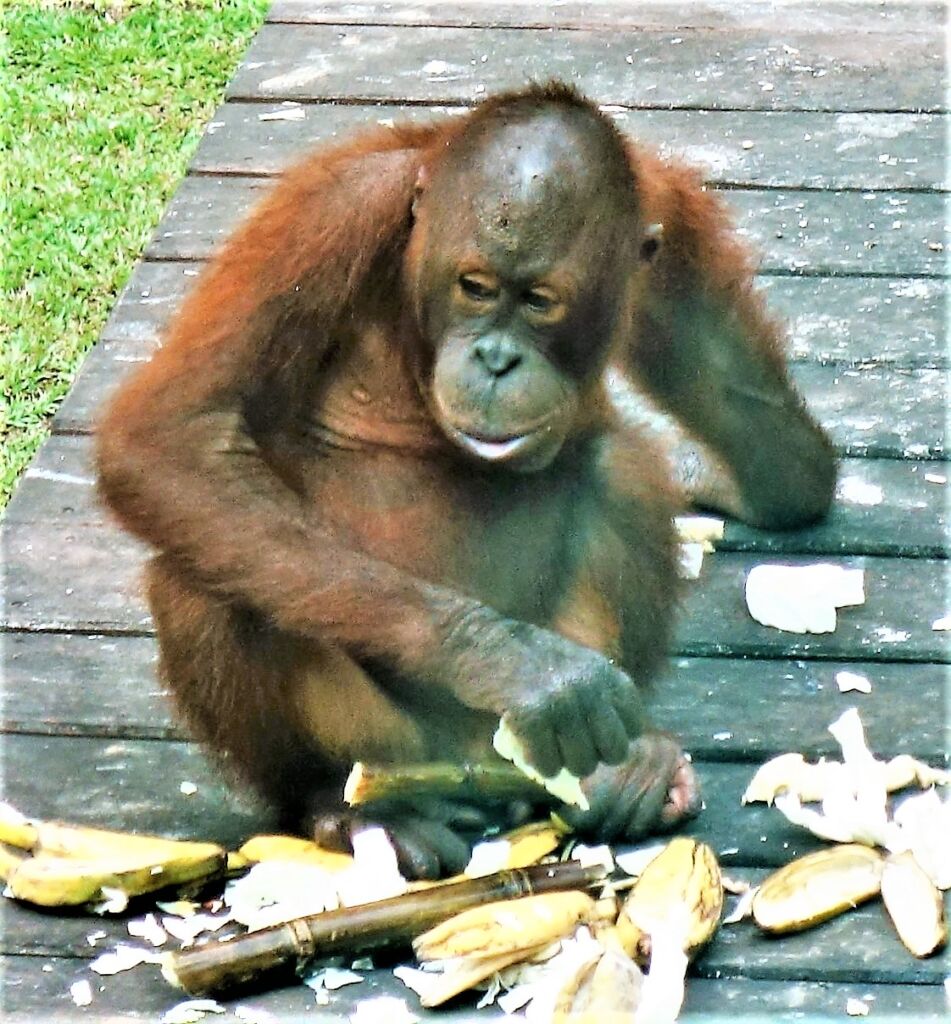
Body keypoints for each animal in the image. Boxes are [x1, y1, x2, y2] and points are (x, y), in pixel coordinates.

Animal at [96, 82, 835, 878]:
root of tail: (478, 767)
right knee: (205, 577)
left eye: (539, 300)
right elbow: (170, 437)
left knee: (620, 466)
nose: (496, 360)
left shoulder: (663, 216)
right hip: (400, 743)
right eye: (475, 287)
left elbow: (754, 421)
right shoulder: (329, 215)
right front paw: (512, 661)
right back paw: (353, 807)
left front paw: (718, 474)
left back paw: (625, 773)